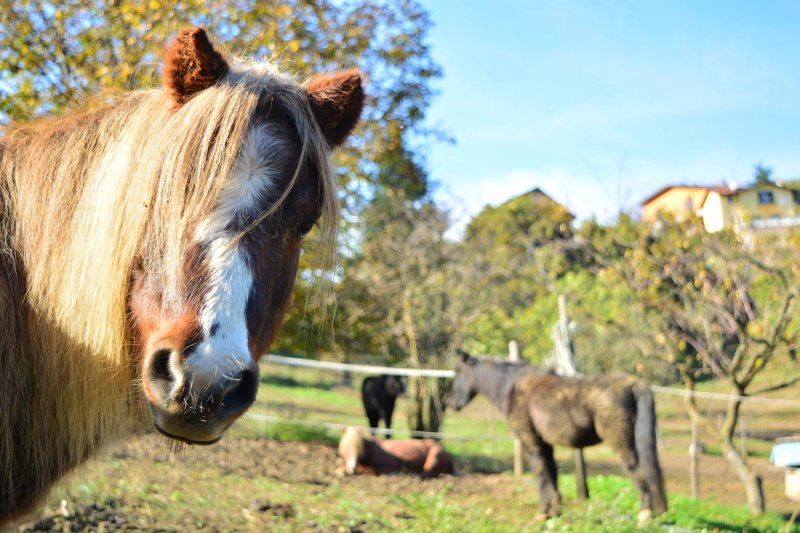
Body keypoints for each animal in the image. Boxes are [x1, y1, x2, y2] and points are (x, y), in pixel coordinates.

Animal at [448, 351, 666, 522]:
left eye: (458, 372)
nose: (451, 403)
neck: (512, 386)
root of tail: (634, 384)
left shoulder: (531, 441)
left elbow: (540, 472)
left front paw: (544, 512)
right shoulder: (545, 444)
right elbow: (552, 472)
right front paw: (554, 511)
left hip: (621, 444)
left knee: (639, 474)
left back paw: (644, 515)